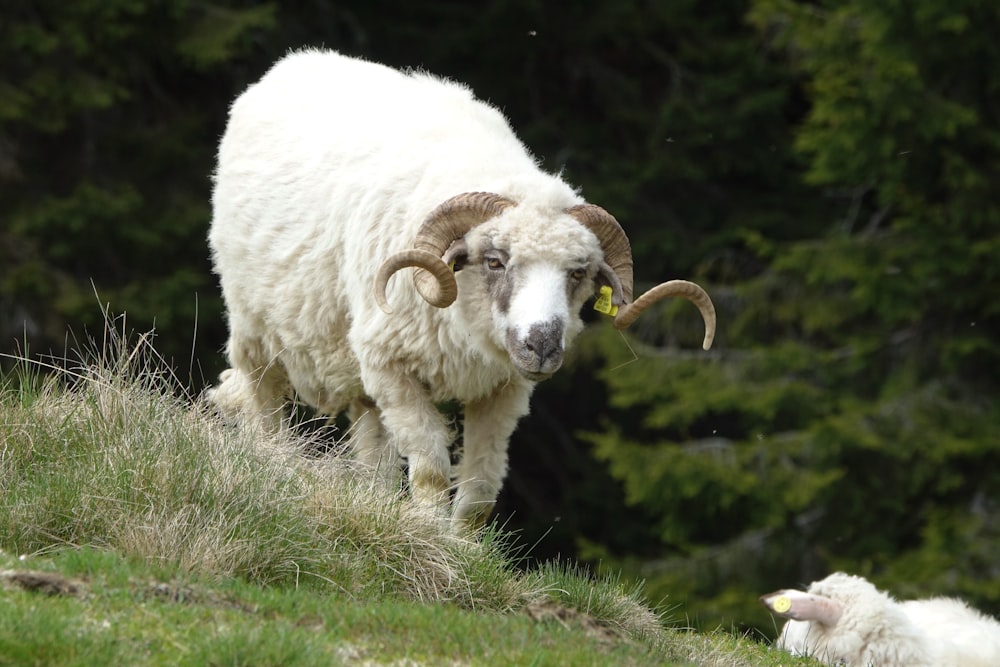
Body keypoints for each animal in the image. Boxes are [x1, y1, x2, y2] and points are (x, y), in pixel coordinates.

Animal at [207, 47, 716, 528]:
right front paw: (427, 536)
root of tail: (296, 62)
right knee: (265, 406)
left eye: (578, 273)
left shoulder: (503, 389)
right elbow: (432, 469)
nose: (542, 345)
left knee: (373, 454)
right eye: (494, 261)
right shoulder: (391, 366)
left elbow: (480, 492)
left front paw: (462, 547)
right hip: (256, 328)